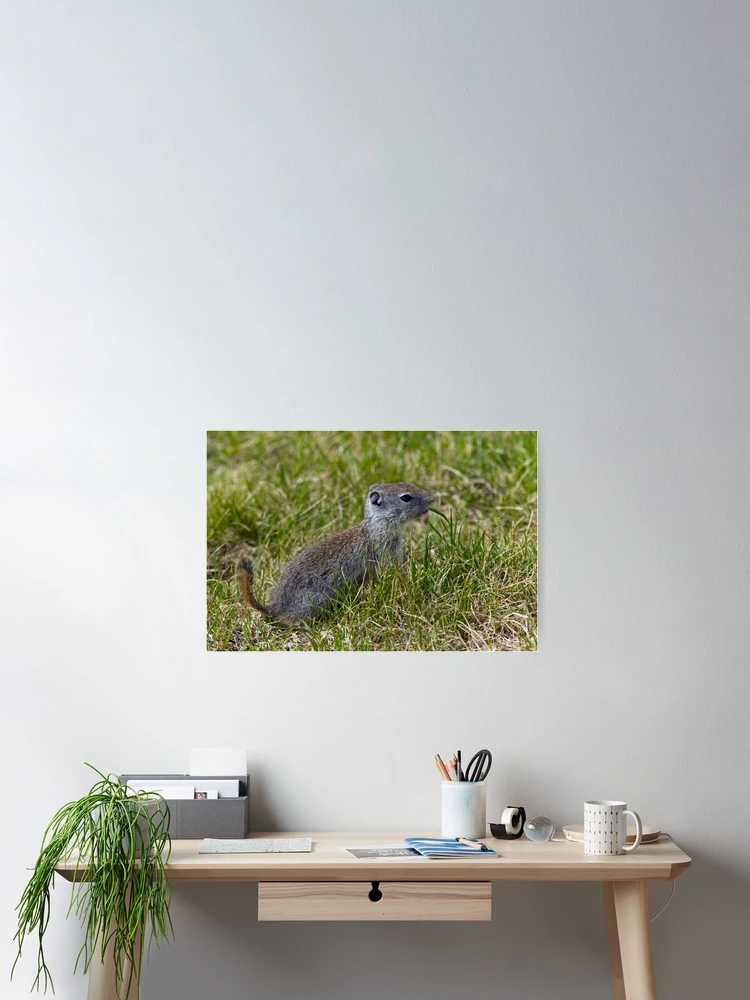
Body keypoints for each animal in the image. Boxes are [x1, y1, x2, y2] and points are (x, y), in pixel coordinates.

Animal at [238, 482, 434, 624]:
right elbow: (395, 573)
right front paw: (409, 584)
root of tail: (276, 606)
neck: (376, 527)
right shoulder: (386, 553)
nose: (432, 498)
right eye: (406, 497)